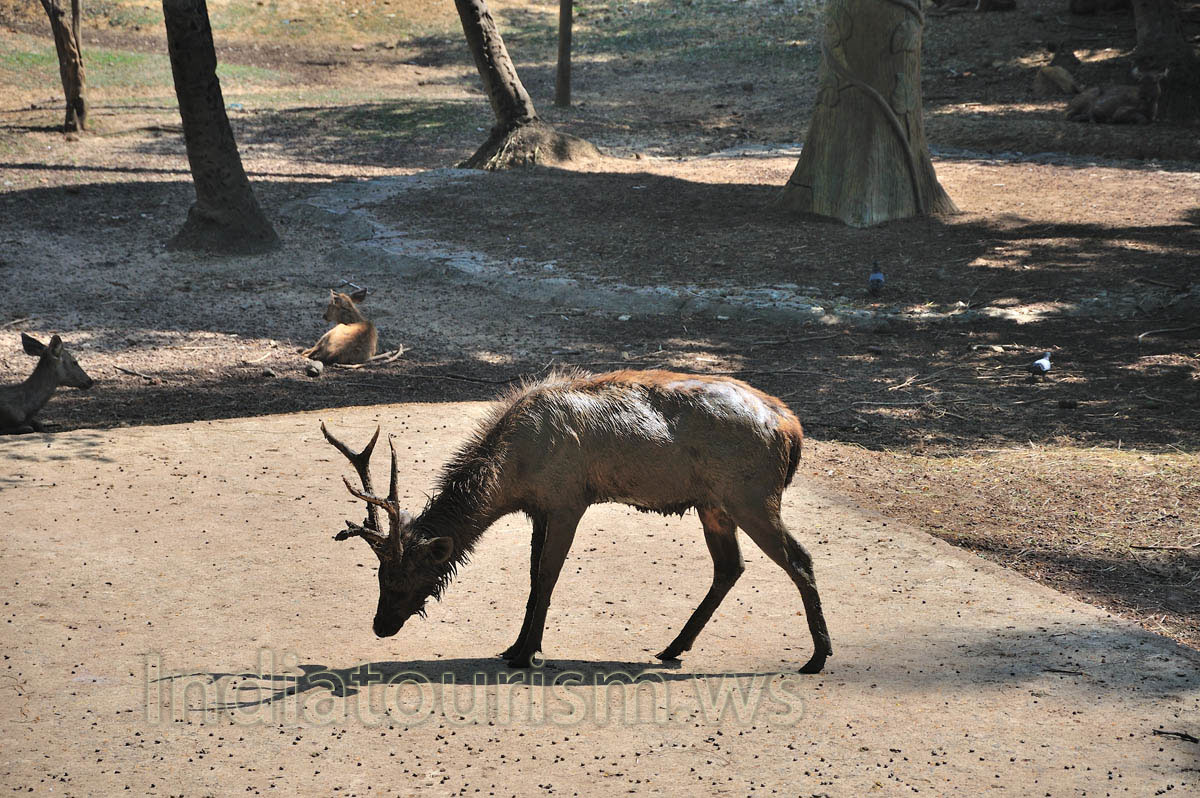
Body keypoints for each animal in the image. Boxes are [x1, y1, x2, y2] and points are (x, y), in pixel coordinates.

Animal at [319, 369, 833, 673]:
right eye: (379, 575)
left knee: (799, 559)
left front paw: (527, 653)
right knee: (730, 567)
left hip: (752, 494)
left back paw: (817, 656)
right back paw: (672, 648)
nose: (380, 626)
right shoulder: (539, 508)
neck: (513, 473)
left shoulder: (569, 500)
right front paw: (515, 646)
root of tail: (792, 428)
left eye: (404, 579)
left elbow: (548, 575)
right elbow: (532, 576)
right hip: (715, 503)